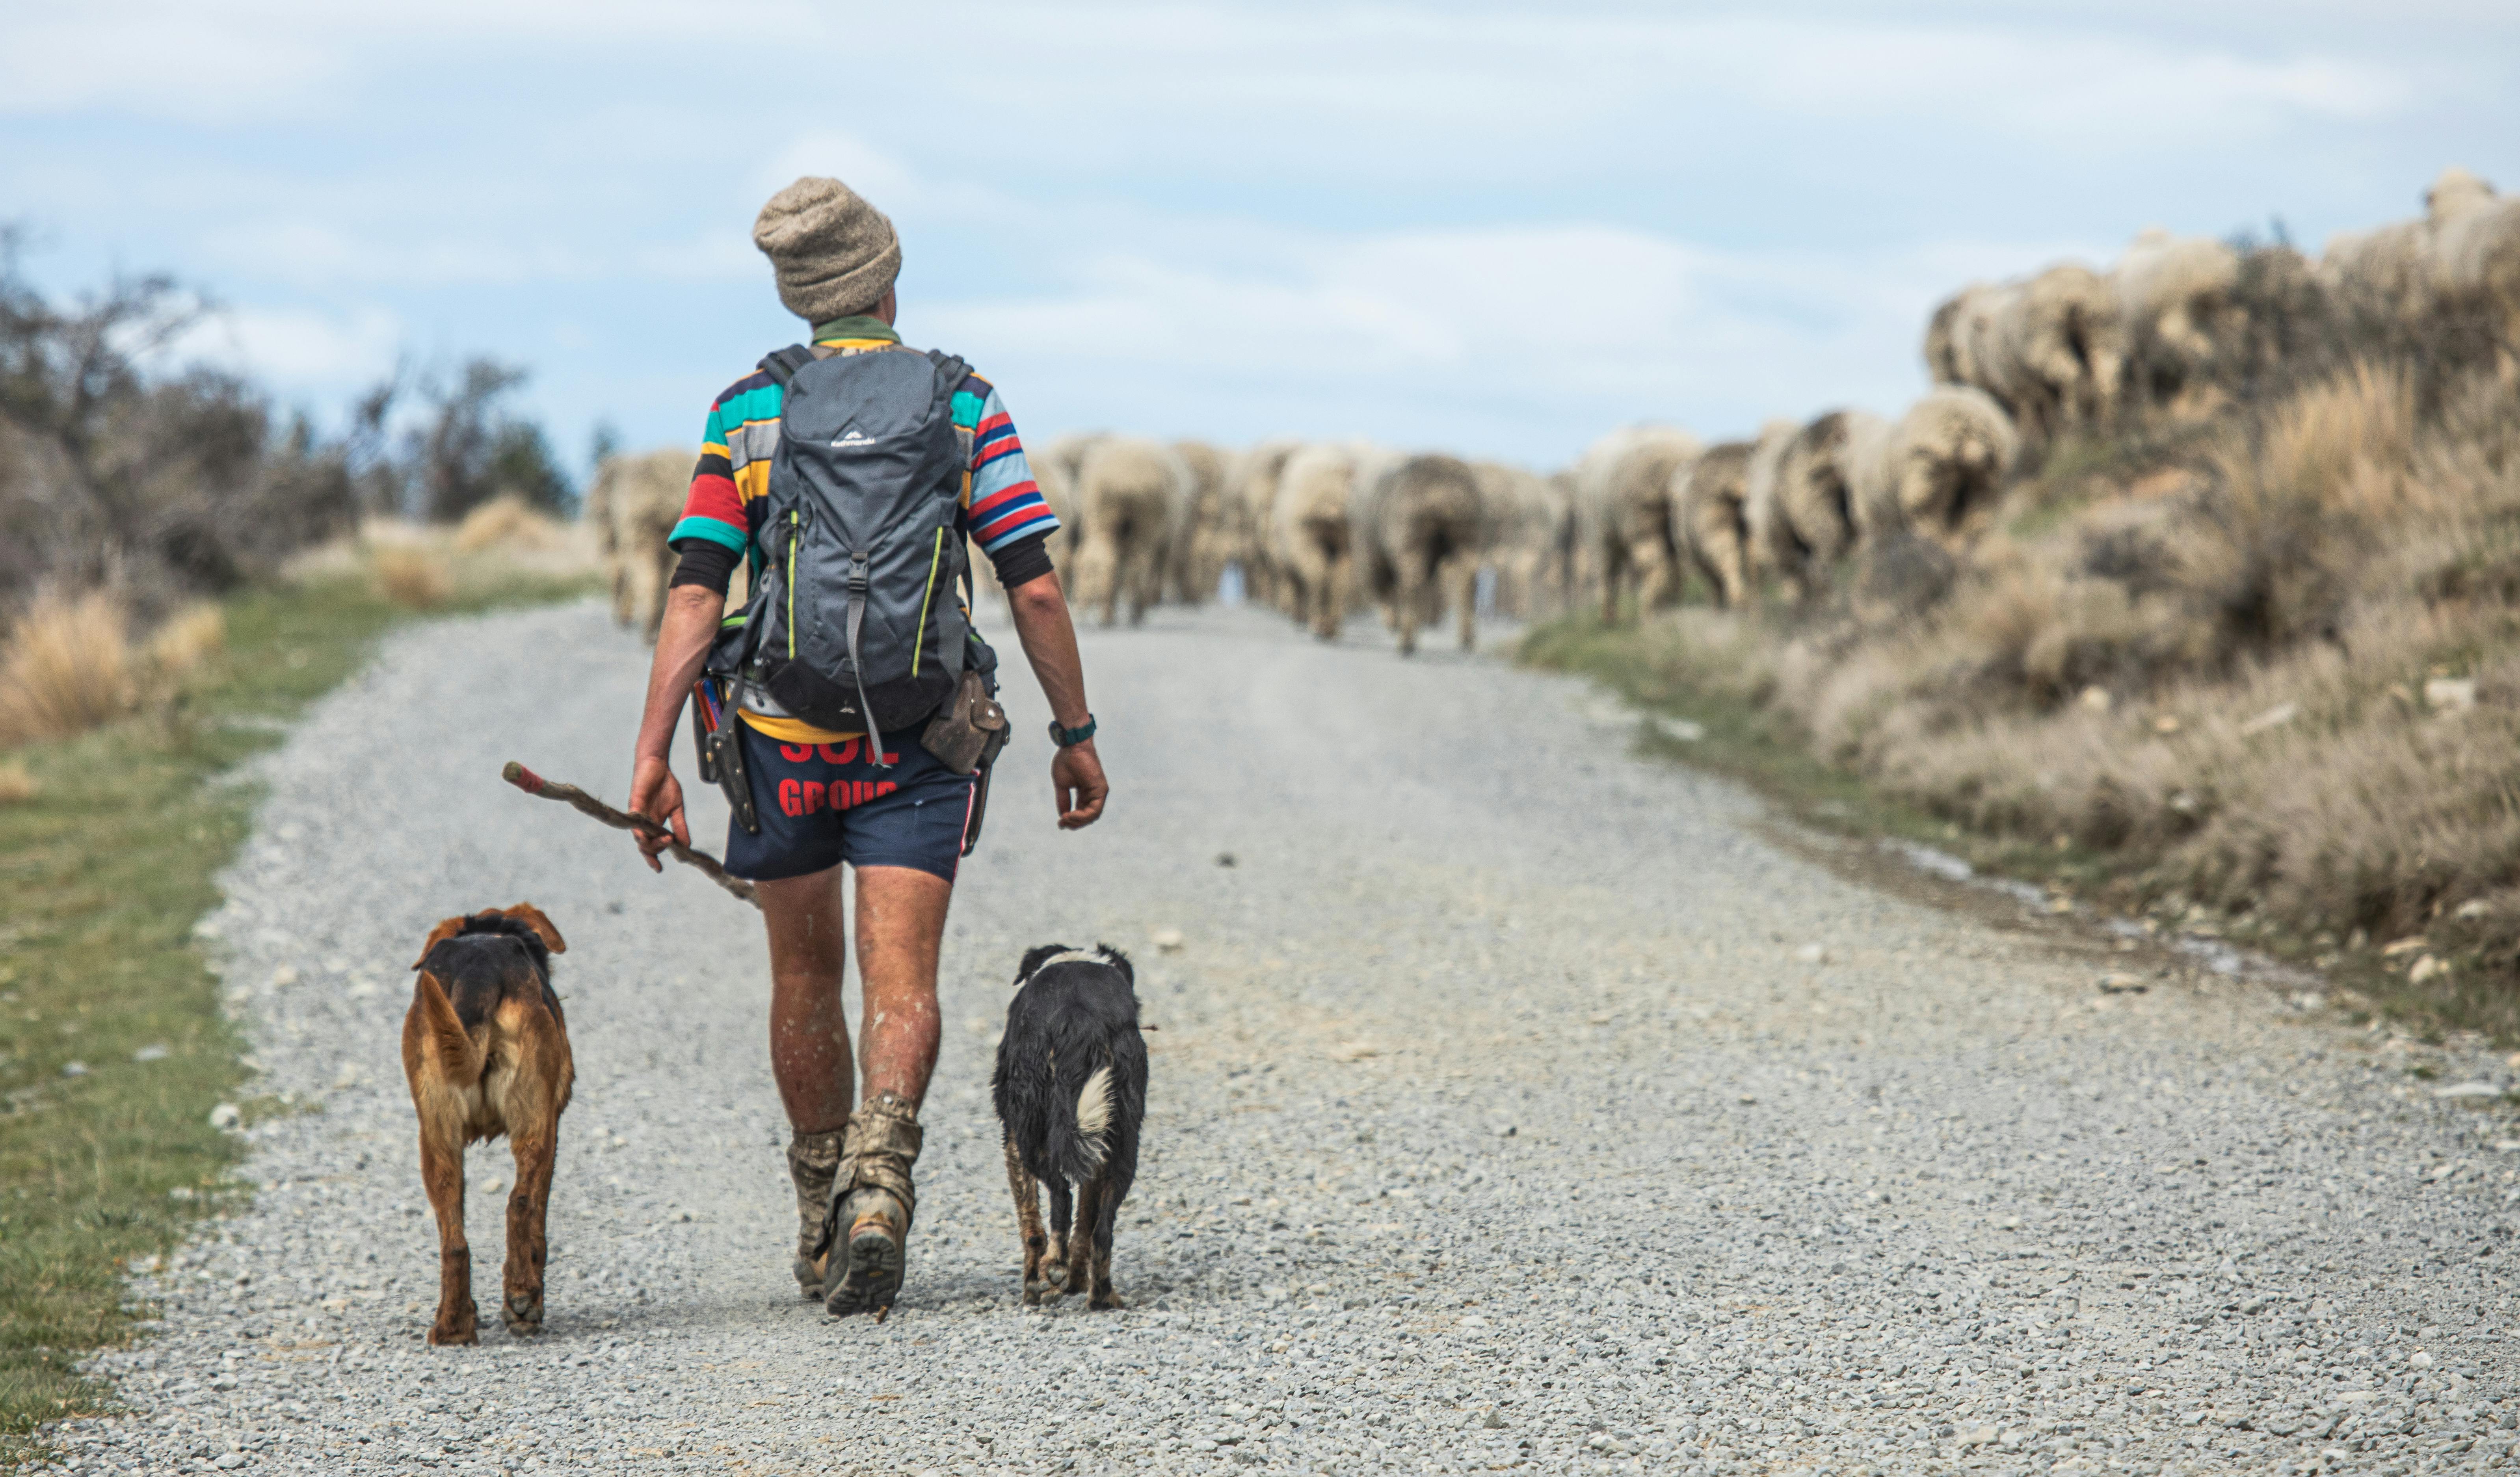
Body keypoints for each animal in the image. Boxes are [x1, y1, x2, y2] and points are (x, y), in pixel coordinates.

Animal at [403, 902, 577, 1341]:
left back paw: (453, 1324)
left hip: (436, 1137)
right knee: (519, 1204)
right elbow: (538, 1226)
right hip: (535, 1127)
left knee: (453, 1239)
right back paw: (522, 1295)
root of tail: (476, 976)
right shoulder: (552, 1128)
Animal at [1063, 433, 1179, 625]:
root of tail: (1124, 478)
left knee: (1107, 558)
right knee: (1138, 564)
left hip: (1102, 514)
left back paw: (1108, 614)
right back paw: (1135, 612)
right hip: (1146, 524)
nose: (1088, 600)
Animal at [1583, 423, 1704, 617]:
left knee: (1653, 564)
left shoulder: (1601, 533)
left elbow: (1608, 571)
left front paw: (1609, 615)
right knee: (1674, 565)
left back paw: (1648, 608)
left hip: (1640, 519)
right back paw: (1667, 604)